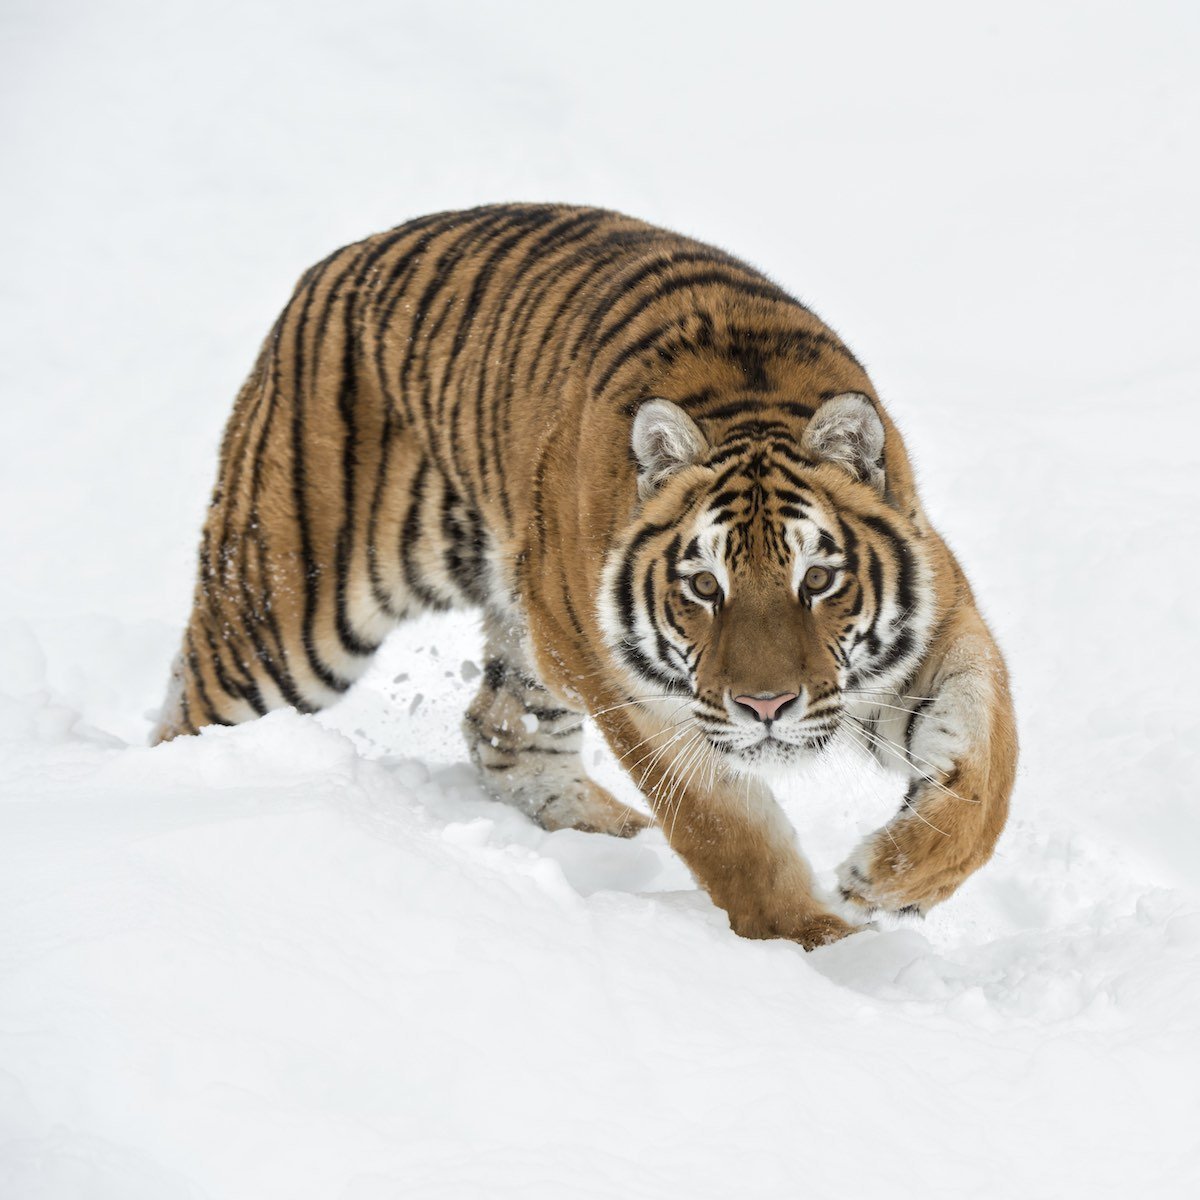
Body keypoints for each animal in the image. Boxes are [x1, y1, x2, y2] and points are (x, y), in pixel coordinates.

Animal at [157, 204, 1022, 945]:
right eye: (704, 587)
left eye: (817, 582)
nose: (766, 707)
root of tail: (337, 261)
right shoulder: (640, 701)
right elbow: (730, 836)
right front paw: (824, 949)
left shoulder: (940, 630)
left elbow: (985, 776)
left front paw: (892, 879)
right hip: (291, 610)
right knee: (194, 711)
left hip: (526, 634)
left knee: (500, 732)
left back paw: (609, 837)